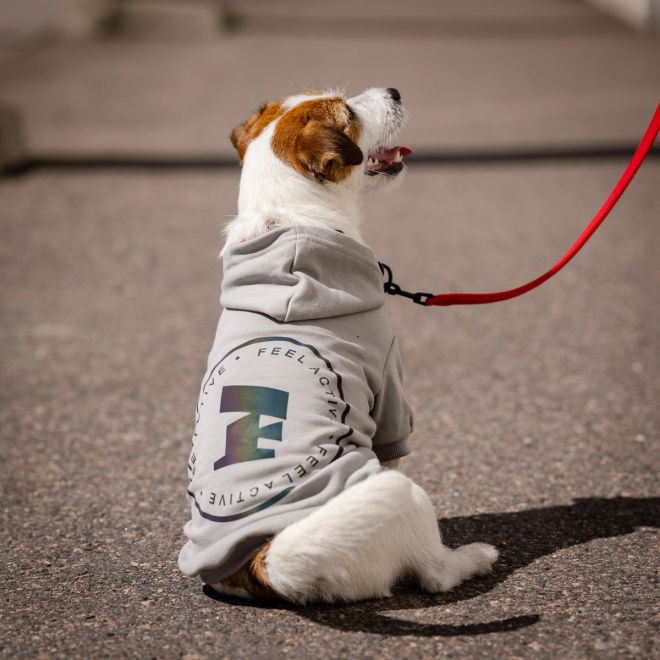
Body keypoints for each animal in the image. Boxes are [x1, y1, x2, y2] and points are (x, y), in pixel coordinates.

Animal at [178, 87, 498, 604]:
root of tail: (268, 561)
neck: (285, 222)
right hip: (404, 506)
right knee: (434, 574)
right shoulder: (389, 383)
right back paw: (472, 557)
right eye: (348, 112)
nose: (394, 91)